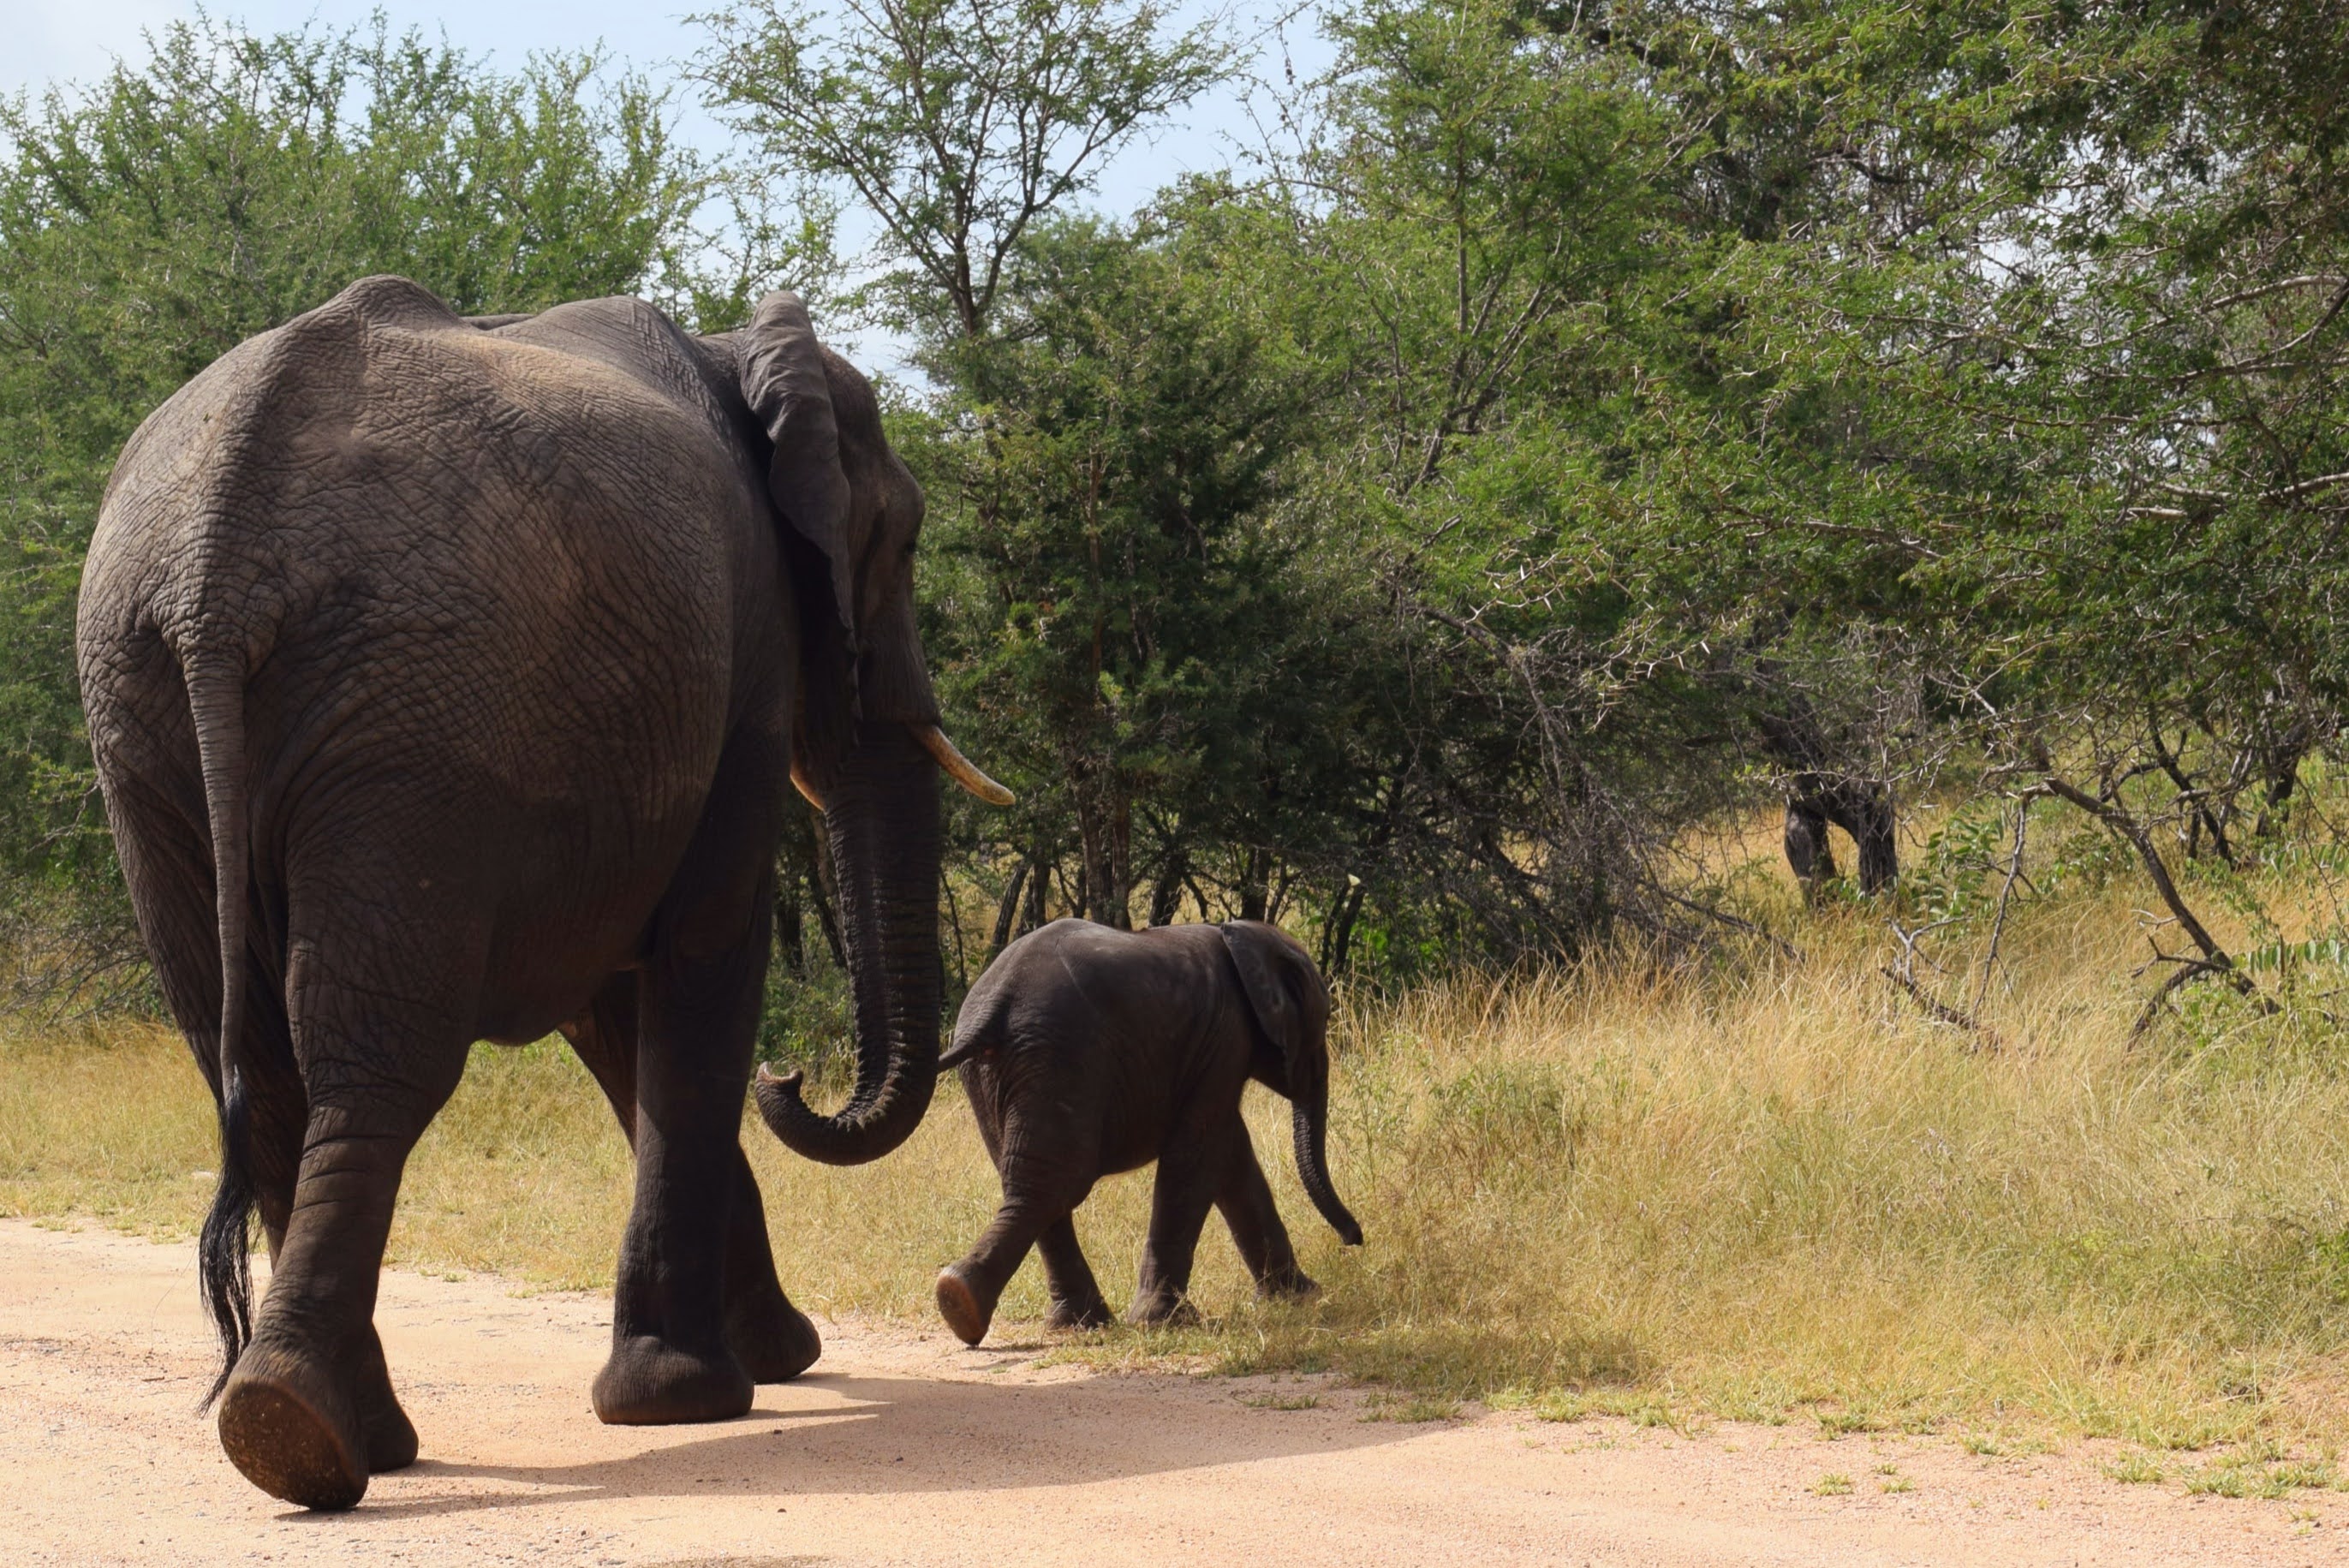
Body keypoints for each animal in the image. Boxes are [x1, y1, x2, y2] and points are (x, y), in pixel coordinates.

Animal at [75, 275, 1009, 1510]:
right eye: (897, 540)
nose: (792, 1076)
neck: (733, 351)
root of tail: (215, 566)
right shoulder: (744, 642)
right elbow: (702, 959)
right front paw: (685, 1396)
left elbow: (619, 1019)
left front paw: (773, 1356)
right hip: (414, 720)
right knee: (379, 1064)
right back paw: (307, 1436)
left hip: (150, 717)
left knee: (258, 1066)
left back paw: (329, 1435)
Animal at [932, 918, 1363, 1346]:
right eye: (1325, 1020)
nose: (1354, 1239)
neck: (1242, 935)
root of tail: (994, 1007)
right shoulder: (1226, 1038)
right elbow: (1198, 1157)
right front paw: (1163, 1322)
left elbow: (1231, 1156)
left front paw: (1301, 1298)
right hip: (1063, 1060)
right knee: (1056, 1185)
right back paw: (968, 1302)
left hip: (1001, 1072)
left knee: (1035, 1185)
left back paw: (994, 1309)